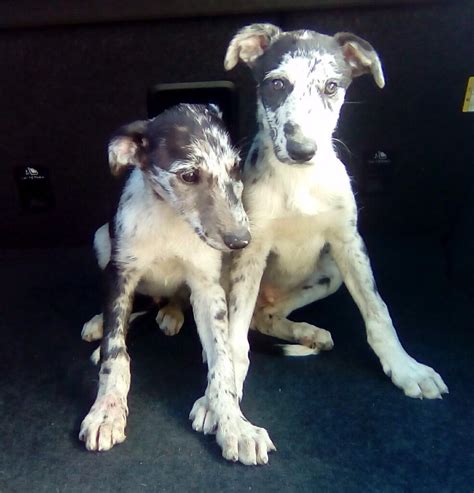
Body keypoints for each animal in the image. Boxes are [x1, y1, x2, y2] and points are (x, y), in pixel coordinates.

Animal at [79, 102, 274, 464]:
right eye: (188, 176)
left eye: (235, 168)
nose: (241, 241)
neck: (170, 217)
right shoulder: (121, 274)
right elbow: (116, 353)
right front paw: (107, 411)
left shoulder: (208, 288)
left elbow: (223, 363)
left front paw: (235, 426)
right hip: (101, 240)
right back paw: (101, 323)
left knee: (173, 302)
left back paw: (171, 314)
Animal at [190, 25, 448, 462]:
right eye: (277, 84)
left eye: (331, 86)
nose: (302, 150)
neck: (299, 183)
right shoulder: (250, 254)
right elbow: (234, 341)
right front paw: (219, 403)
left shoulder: (348, 243)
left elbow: (378, 312)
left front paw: (405, 368)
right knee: (239, 326)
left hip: (329, 274)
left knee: (267, 315)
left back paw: (306, 331)